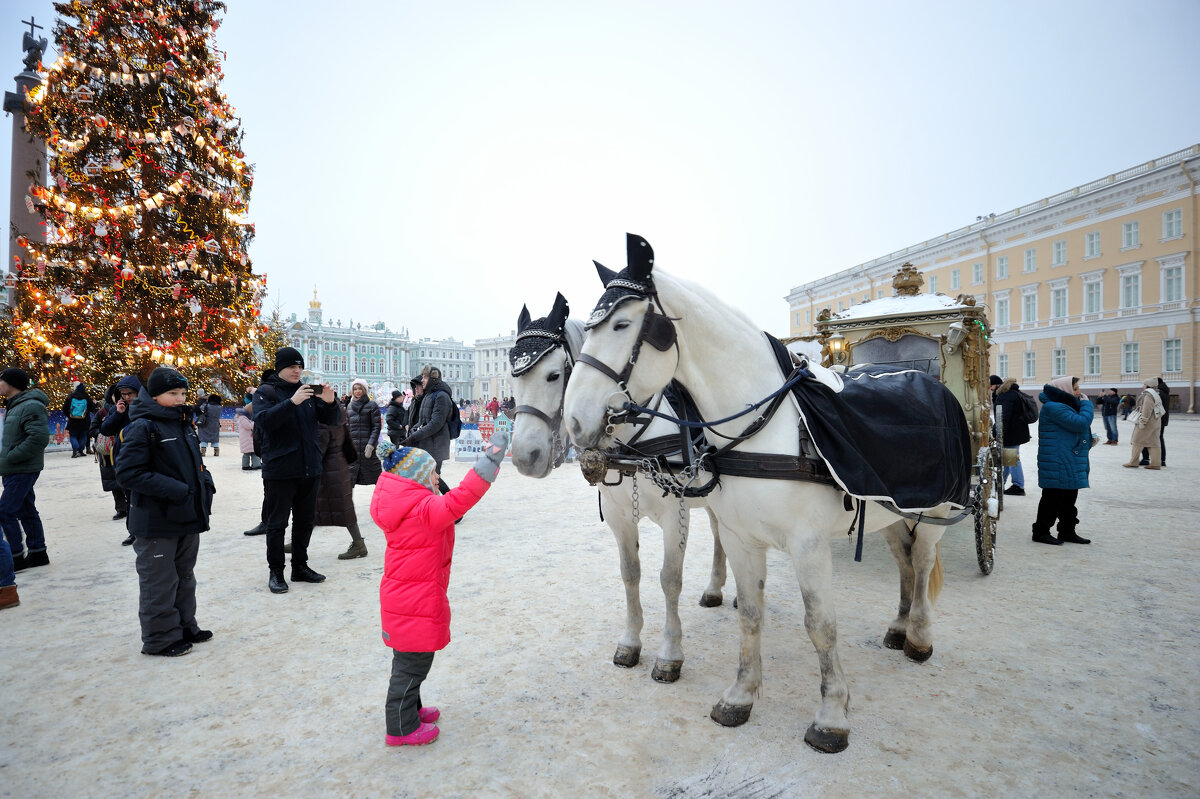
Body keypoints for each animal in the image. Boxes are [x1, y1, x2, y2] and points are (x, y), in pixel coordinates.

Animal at [508, 295, 729, 681]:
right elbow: (630, 574)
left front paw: (670, 653)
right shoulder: (618, 516)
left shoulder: (675, 515)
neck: (633, 440)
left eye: (553, 375)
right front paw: (630, 641)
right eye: (513, 377)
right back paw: (716, 587)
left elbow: (670, 579)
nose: (524, 455)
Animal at [561, 236, 964, 753]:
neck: (763, 427)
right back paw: (898, 626)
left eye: (622, 324)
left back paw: (918, 635)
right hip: (889, 510)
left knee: (924, 562)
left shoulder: (809, 545)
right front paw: (741, 695)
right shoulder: (740, 537)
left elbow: (820, 625)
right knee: (904, 562)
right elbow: (750, 614)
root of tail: (925, 378)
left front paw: (831, 715)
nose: (574, 419)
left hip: (937, 507)